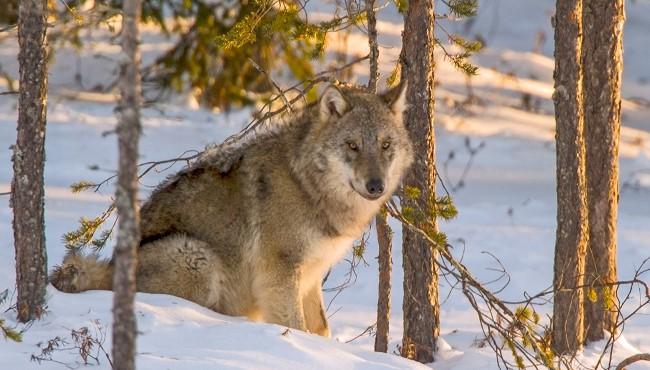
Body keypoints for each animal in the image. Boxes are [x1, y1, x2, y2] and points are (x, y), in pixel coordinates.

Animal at [53, 82, 412, 336]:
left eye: (385, 145)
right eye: (352, 146)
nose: (376, 186)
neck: (308, 186)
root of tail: (109, 267)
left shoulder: (311, 274)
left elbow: (321, 330)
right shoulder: (280, 274)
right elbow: (295, 327)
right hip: (197, 256)